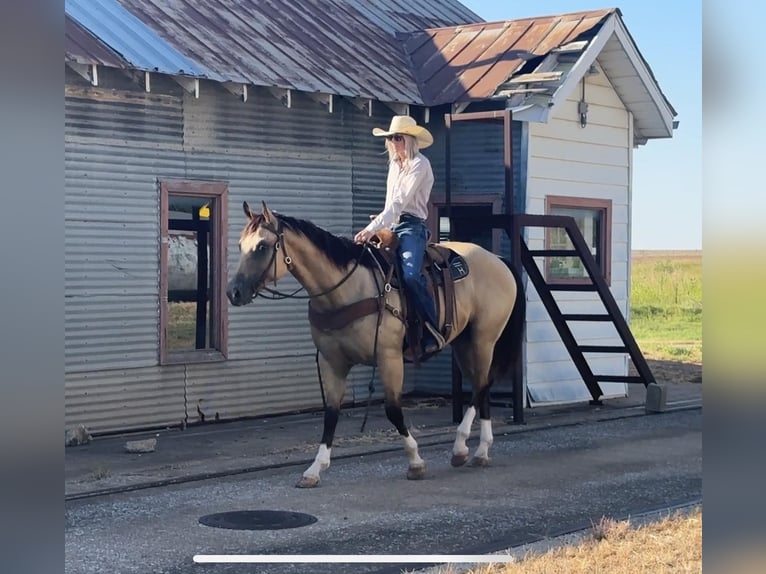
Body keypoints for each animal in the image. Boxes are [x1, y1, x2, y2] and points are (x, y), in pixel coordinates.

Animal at [226, 200, 528, 488]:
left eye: (262, 246)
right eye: (241, 245)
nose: (233, 292)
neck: (345, 291)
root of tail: (498, 259)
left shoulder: (389, 358)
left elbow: (393, 409)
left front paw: (415, 461)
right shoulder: (331, 362)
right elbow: (331, 414)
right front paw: (314, 469)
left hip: (483, 338)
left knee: (482, 385)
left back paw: (461, 447)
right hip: (465, 344)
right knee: (481, 386)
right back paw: (480, 451)